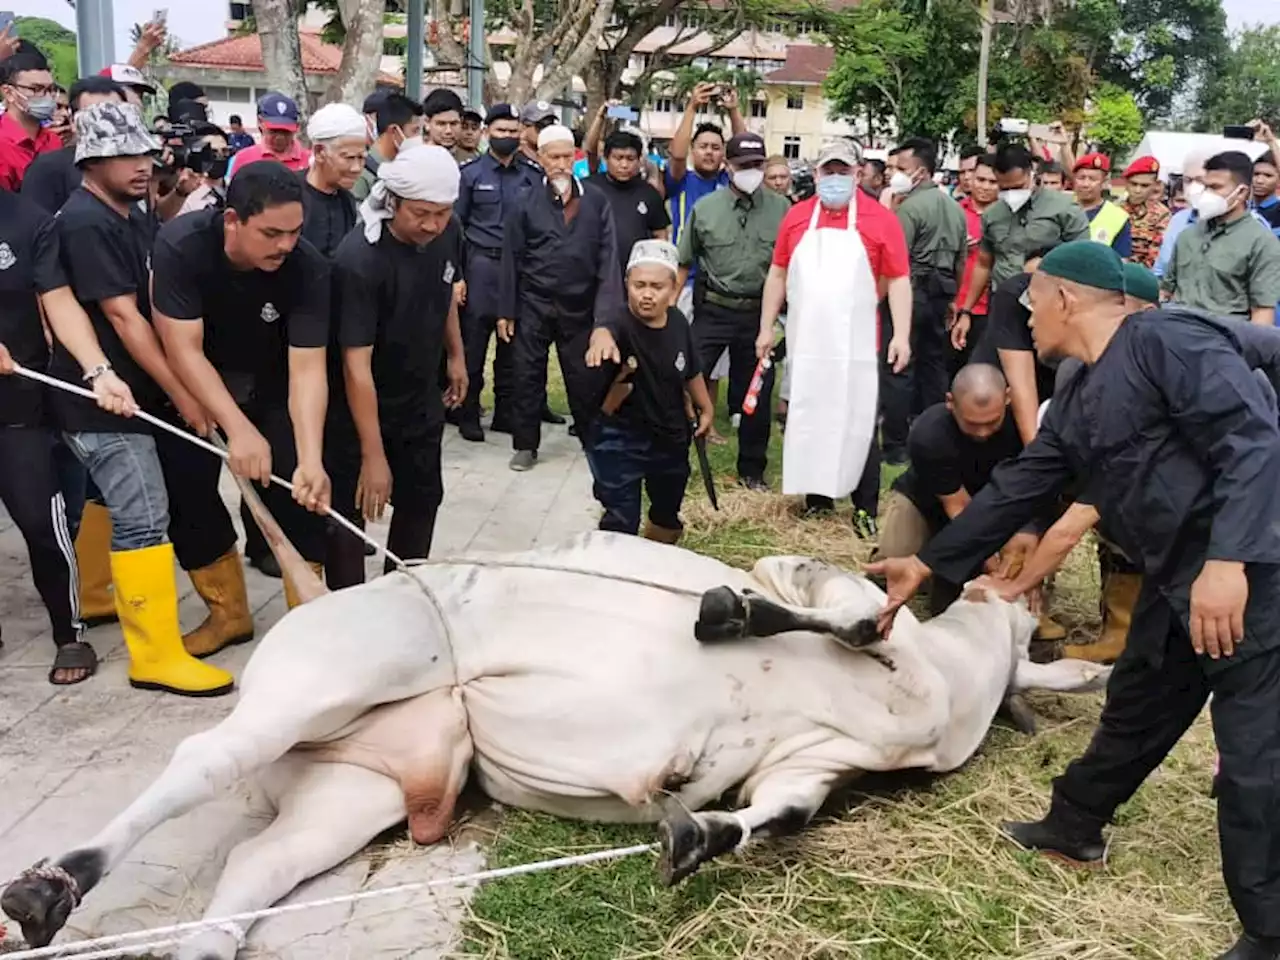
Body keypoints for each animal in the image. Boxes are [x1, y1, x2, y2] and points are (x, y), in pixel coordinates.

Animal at [0, 535, 1105, 960]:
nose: (1048, 623)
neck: (956, 686)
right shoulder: (825, 591)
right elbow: (843, 609)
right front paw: (726, 614)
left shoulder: (813, 763)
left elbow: (781, 810)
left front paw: (695, 836)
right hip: (332, 677)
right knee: (203, 765)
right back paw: (48, 889)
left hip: (354, 791)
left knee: (257, 861)